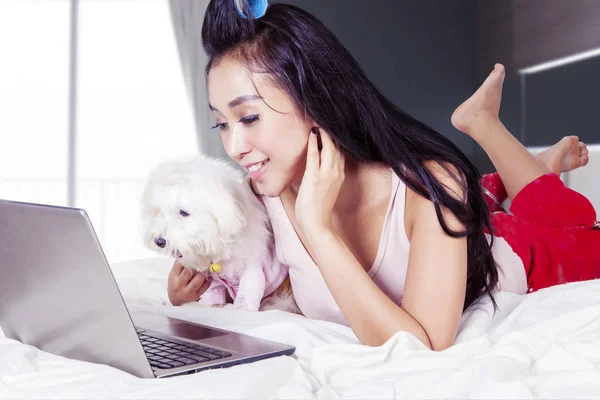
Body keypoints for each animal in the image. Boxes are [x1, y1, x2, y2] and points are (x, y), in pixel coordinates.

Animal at [141, 155, 300, 314]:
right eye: (159, 211)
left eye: (184, 212)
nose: (159, 241)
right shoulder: (213, 282)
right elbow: (212, 298)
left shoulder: (253, 271)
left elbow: (245, 300)